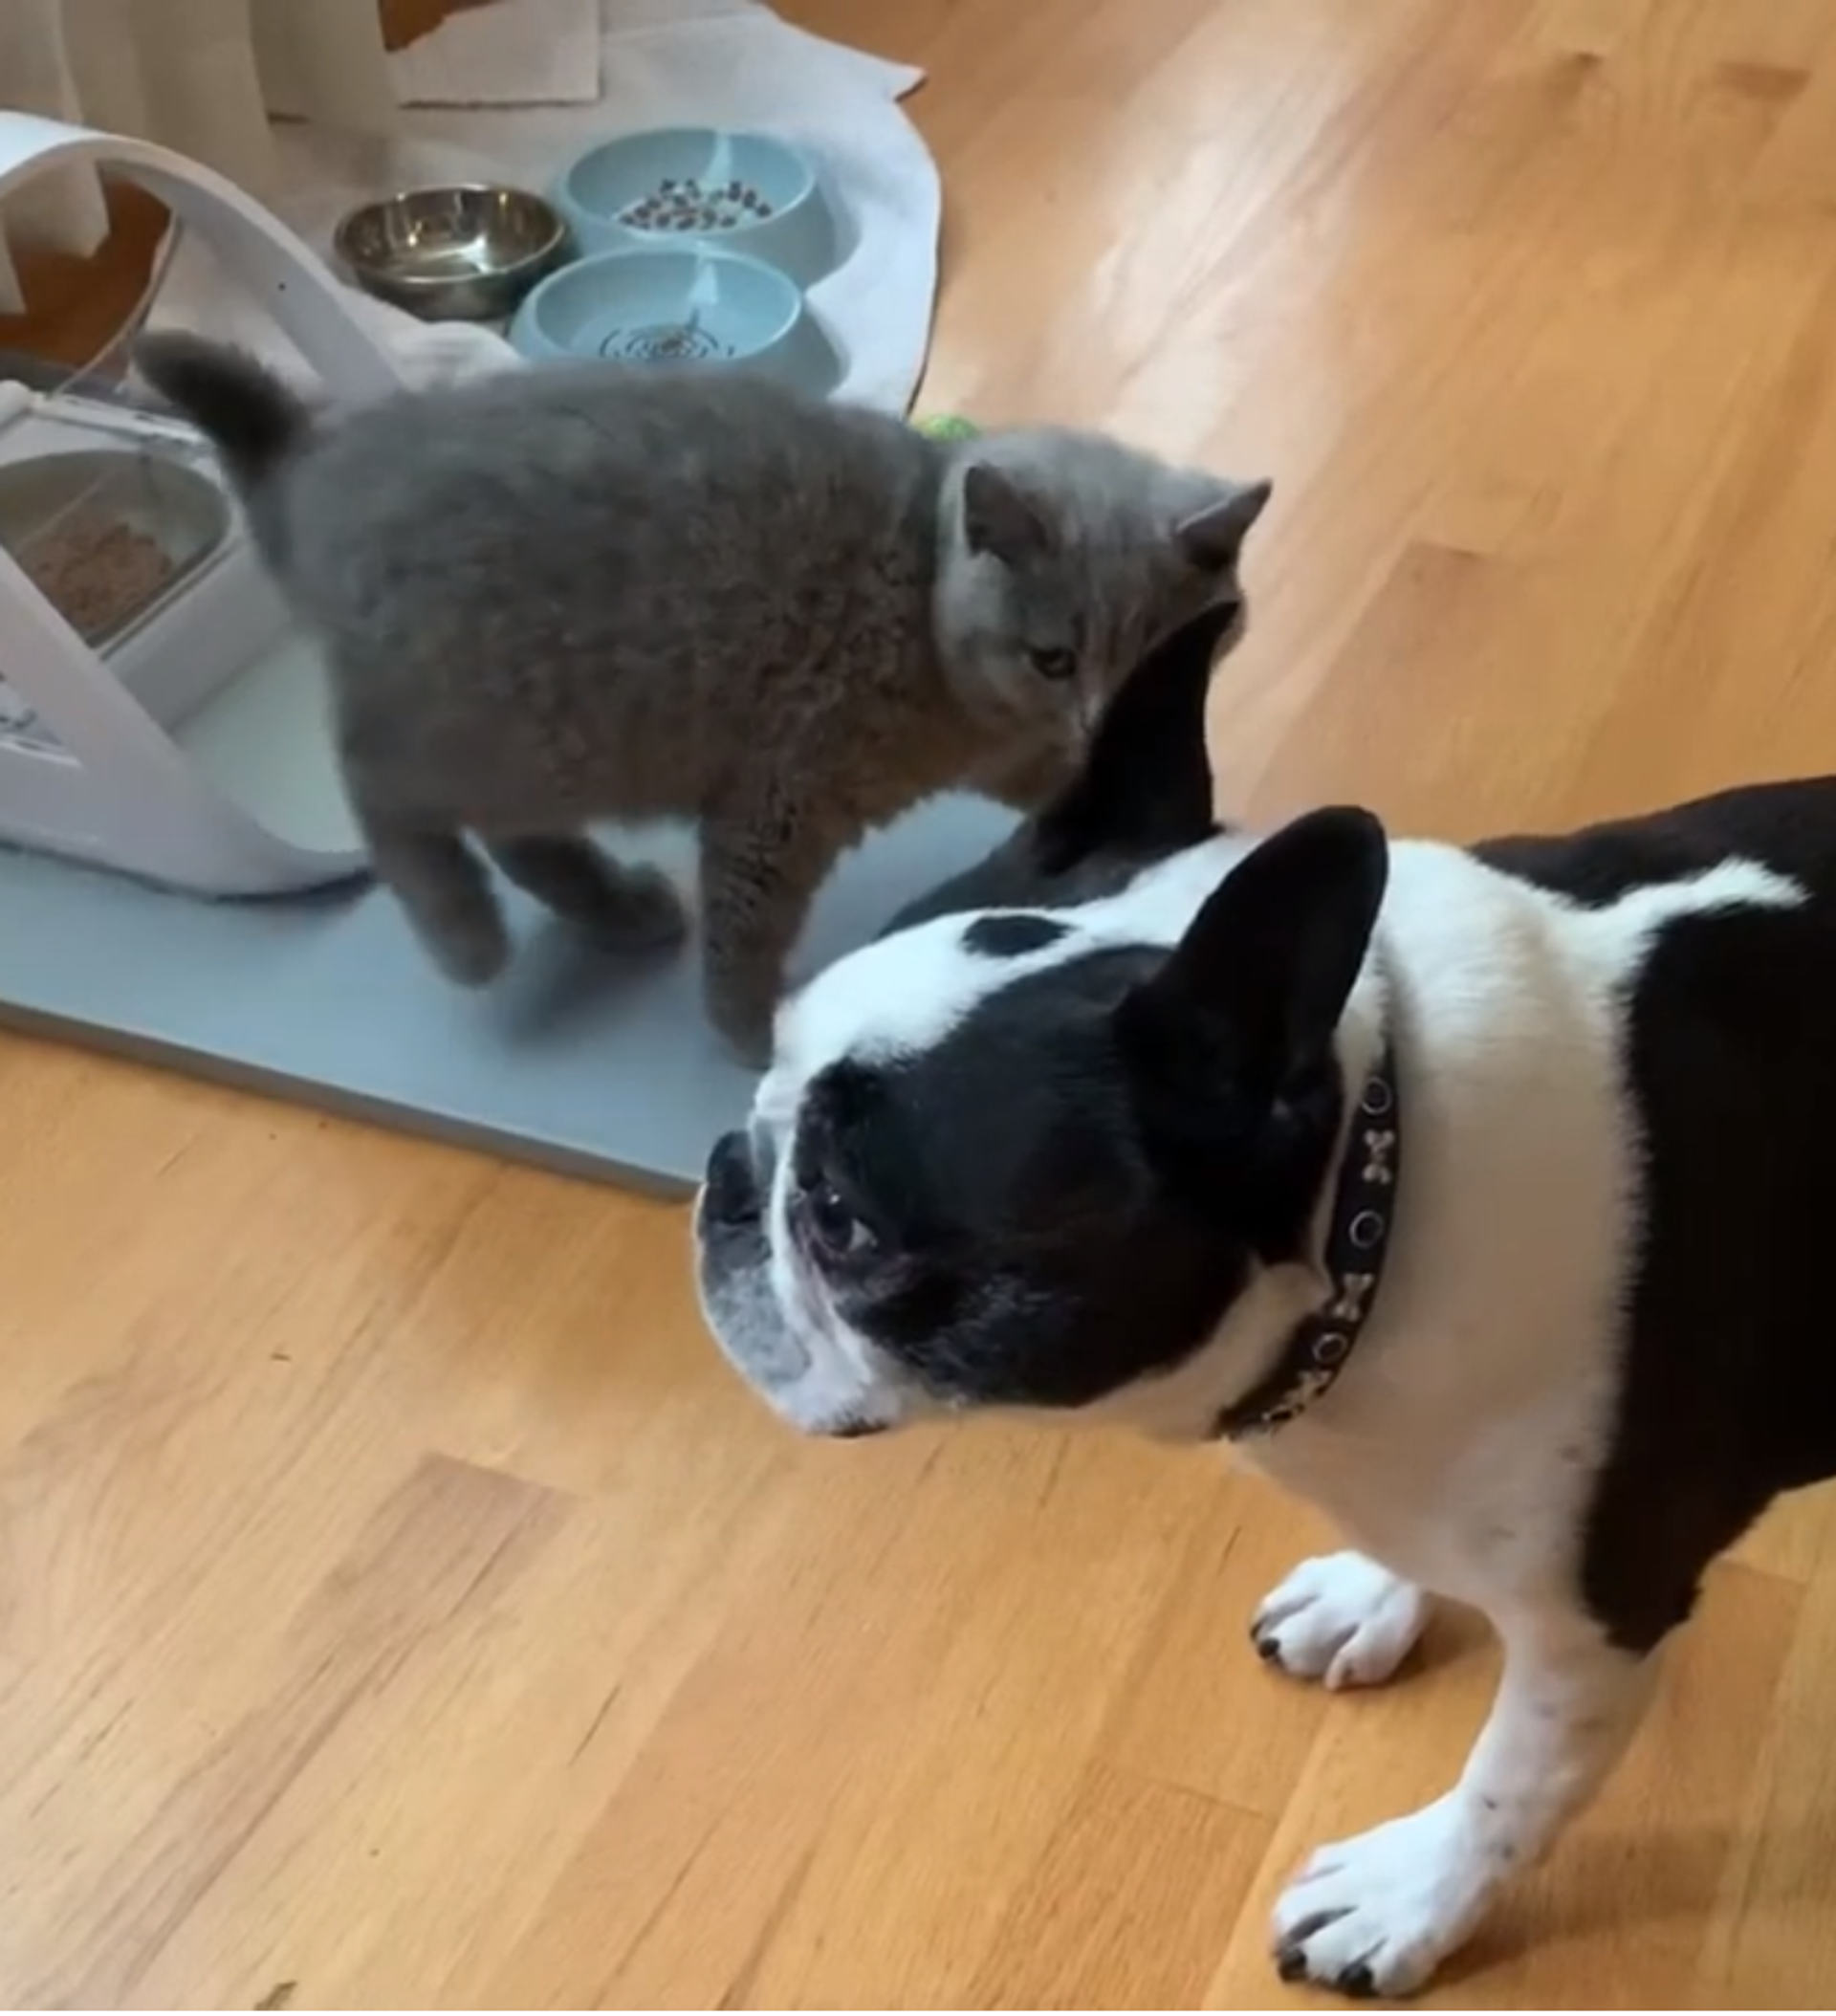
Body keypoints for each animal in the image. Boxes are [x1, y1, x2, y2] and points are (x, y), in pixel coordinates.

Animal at [135, 332, 1270, 1063]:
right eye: (1053, 656)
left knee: (509, 832)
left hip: (538, 737)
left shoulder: (1013, 752)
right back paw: (467, 936)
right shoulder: (781, 793)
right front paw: (756, 1035)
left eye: (1168, 652)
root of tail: (311, 475)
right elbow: (748, 921)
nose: (1103, 713)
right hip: (474, 717)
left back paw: (617, 905)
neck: (919, 598)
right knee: (381, 794)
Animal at [694, 599, 1836, 1997]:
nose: (727, 1172)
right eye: (771, 1061)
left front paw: (1408, 1898)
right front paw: (1372, 1591)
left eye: (846, 1219)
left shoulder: (1598, 1624)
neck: (1382, 1179)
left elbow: (1510, 1789)